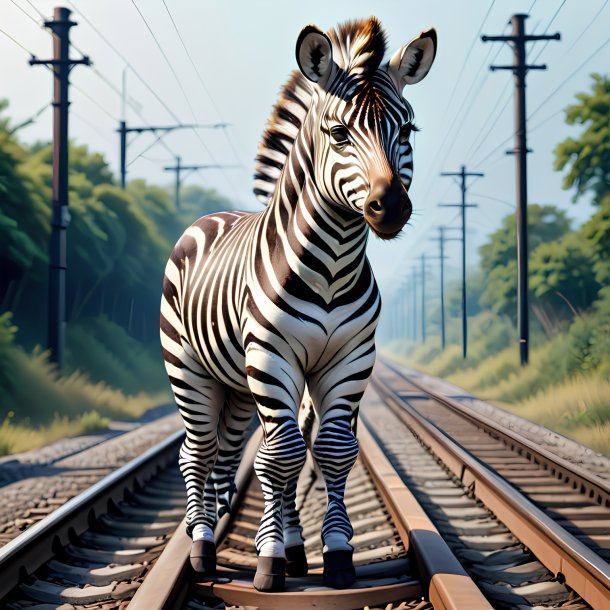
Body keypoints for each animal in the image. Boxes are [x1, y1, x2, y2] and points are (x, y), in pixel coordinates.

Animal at [159, 17, 434, 588]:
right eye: (338, 133)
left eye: (408, 131)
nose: (391, 206)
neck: (331, 267)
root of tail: (209, 217)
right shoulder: (272, 356)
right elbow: (282, 454)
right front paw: (268, 560)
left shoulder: (351, 359)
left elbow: (329, 450)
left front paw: (334, 551)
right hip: (189, 367)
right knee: (197, 452)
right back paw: (202, 546)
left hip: (237, 384)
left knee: (230, 452)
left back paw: (265, 541)